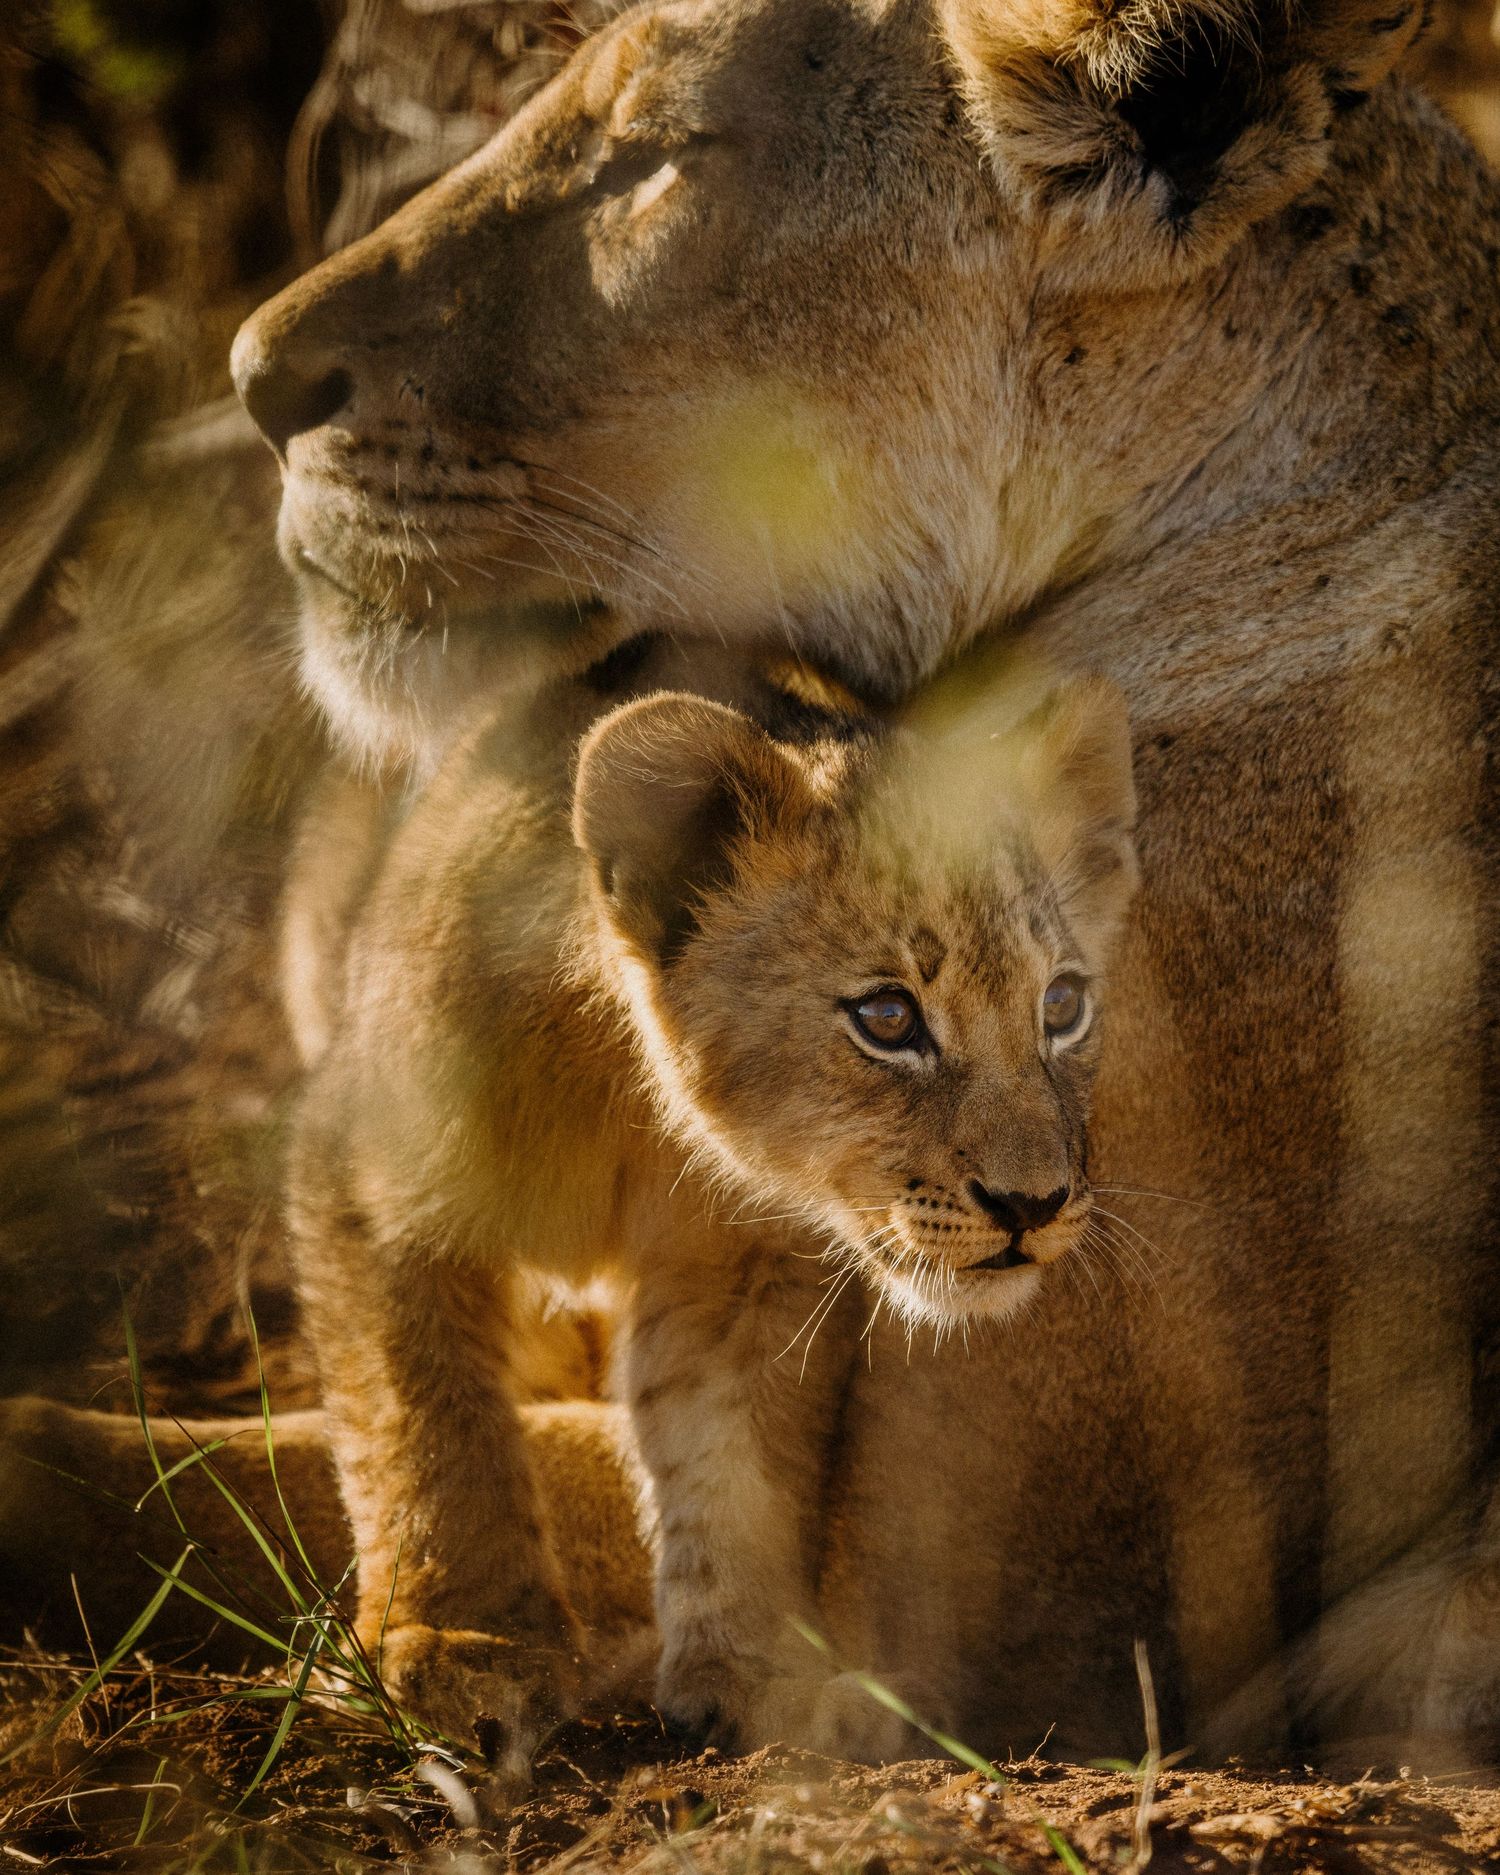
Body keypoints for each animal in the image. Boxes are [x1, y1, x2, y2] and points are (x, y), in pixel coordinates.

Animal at [284, 633, 1137, 1753]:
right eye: (889, 1018)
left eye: (1064, 1005)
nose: (1031, 1205)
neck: (627, 1097)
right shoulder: (366, 1172)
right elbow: (427, 1421)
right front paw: (461, 1647)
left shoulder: (740, 1266)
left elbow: (732, 1463)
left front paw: (757, 1672)